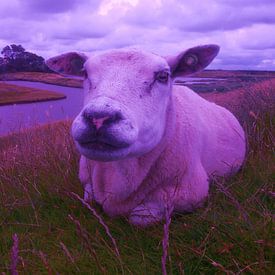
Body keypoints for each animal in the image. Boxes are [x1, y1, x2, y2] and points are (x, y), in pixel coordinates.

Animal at [46, 45, 247, 226]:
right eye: (85, 73)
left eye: (163, 76)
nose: (98, 119)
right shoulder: (87, 183)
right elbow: (88, 200)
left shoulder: (190, 192)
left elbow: (138, 218)